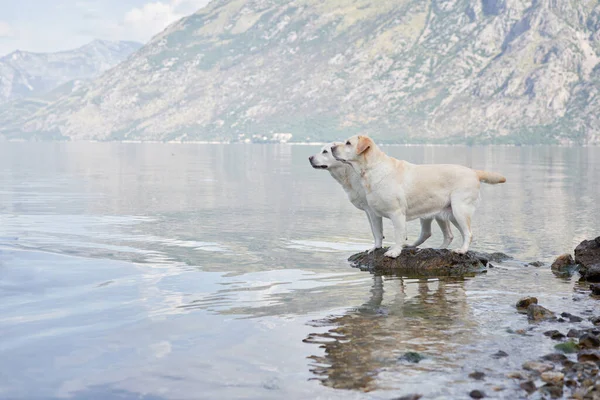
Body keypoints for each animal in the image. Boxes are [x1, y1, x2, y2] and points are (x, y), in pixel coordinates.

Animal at [310, 142, 454, 252]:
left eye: (325, 151)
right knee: (441, 234)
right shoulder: (369, 210)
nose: (309, 157)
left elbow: (376, 231)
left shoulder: (372, 210)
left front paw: (377, 247)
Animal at [332, 136, 506, 258]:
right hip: (447, 213)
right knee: (447, 234)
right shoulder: (374, 212)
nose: (332, 147)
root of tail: (474, 172)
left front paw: (394, 252)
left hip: (460, 209)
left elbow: (399, 235)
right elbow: (377, 233)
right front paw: (376, 248)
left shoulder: (396, 212)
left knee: (468, 233)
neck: (372, 168)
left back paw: (461, 250)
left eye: (348, 143)